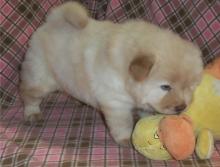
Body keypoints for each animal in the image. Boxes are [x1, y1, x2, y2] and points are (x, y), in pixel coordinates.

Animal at [20, 1, 203, 145]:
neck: (124, 72)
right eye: (165, 87)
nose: (181, 107)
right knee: (28, 94)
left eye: (189, 87)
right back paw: (32, 113)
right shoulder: (116, 103)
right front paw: (125, 139)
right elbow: (123, 124)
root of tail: (51, 21)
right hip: (40, 79)